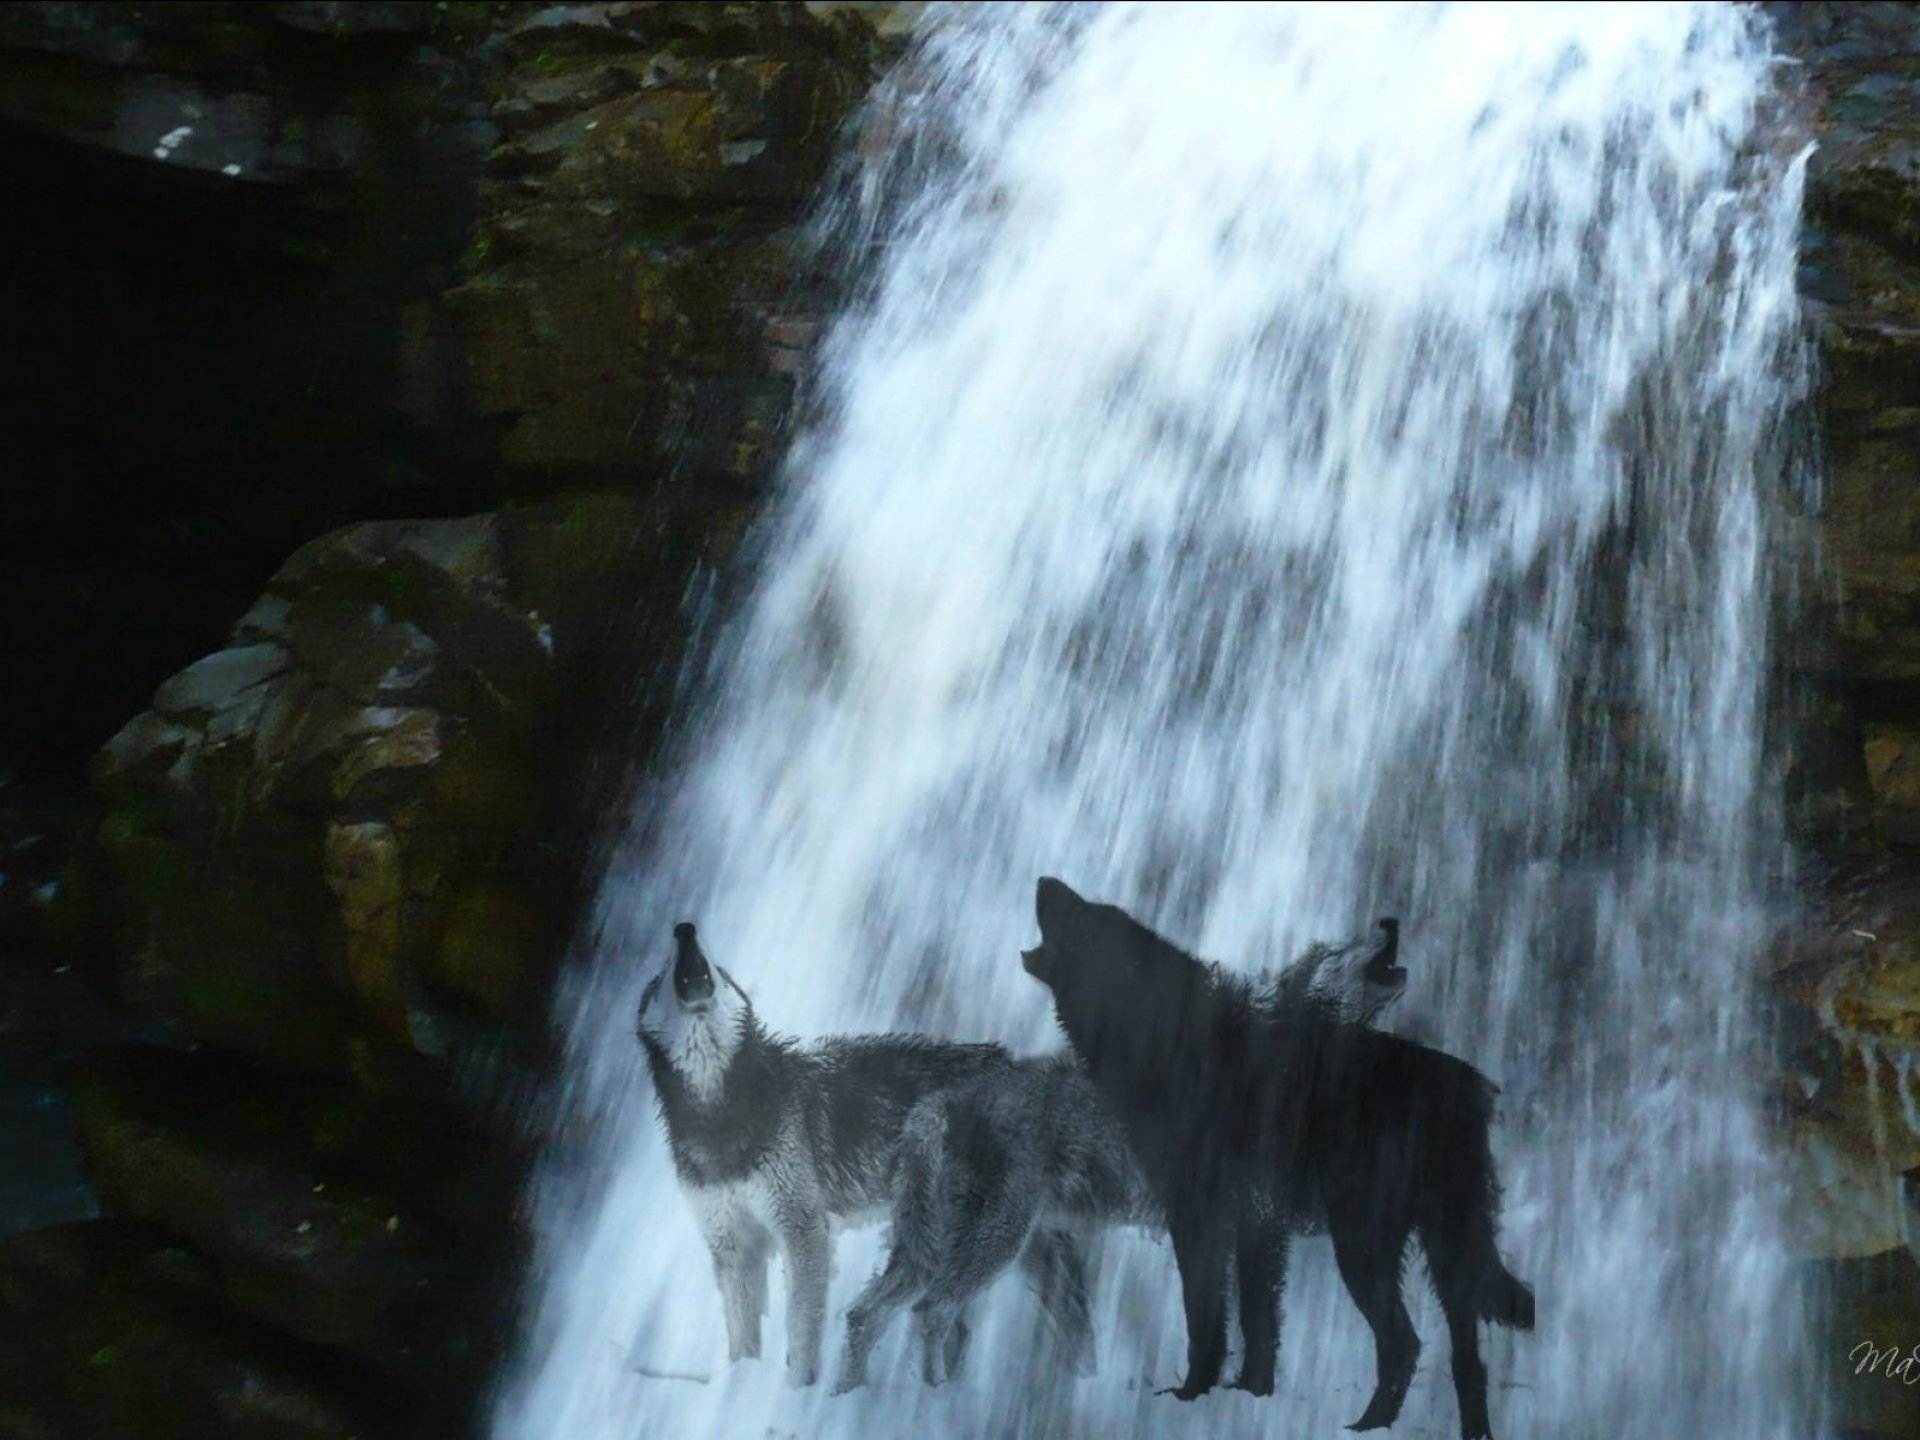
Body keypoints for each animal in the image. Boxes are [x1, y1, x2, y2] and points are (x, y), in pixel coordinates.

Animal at [635, 921, 1010, 1386]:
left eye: (718, 968)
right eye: (661, 974)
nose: (684, 929)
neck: (719, 1113)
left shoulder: (803, 1228)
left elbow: (800, 1330)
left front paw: (799, 1390)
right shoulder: (733, 1244)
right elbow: (742, 1338)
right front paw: (738, 1384)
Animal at [834, 916, 1410, 1393]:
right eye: (1338, 950)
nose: (1389, 921)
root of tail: (936, 1104)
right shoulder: (1253, 1225)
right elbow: (1251, 1324)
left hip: (956, 1251)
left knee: (866, 1314)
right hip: (995, 1244)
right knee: (932, 1312)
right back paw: (934, 1400)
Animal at [1022, 878, 1533, 1440]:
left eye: (1086, 915)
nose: (1044, 879)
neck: (1163, 1041)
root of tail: (1464, 1081)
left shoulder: (1200, 1217)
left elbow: (1206, 1319)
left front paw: (1193, 1396)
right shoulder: (1258, 1225)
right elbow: (1259, 1324)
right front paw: (1250, 1396)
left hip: (1364, 1245)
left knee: (1404, 1342)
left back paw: (1365, 1428)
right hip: (1443, 1251)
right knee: (1465, 1360)